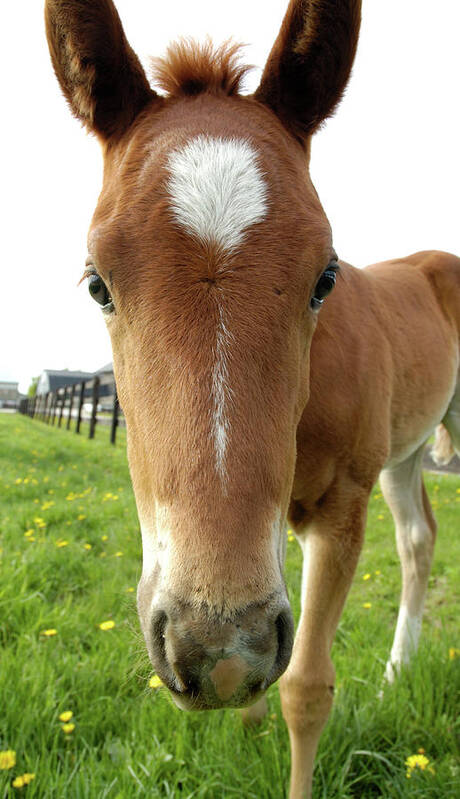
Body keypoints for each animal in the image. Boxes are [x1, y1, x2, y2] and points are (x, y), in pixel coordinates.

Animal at [44, 0, 460, 796]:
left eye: (325, 277)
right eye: (96, 283)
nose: (216, 645)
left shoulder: (340, 508)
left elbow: (306, 686)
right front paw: (246, 718)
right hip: (407, 449)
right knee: (418, 538)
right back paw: (397, 672)